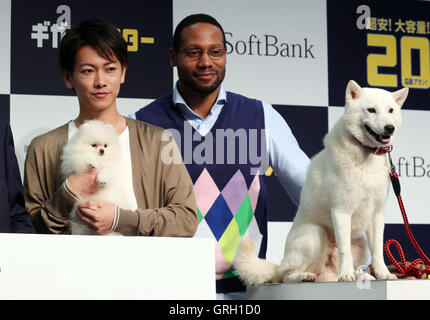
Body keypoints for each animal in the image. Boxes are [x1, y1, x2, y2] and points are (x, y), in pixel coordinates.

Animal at [235, 81, 410, 284]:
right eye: (371, 110)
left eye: (390, 110)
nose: (389, 128)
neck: (366, 155)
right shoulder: (341, 211)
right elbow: (345, 250)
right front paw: (347, 275)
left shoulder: (376, 215)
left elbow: (378, 251)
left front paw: (383, 273)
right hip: (314, 234)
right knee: (285, 275)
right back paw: (306, 276)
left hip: (361, 243)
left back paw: (360, 274)